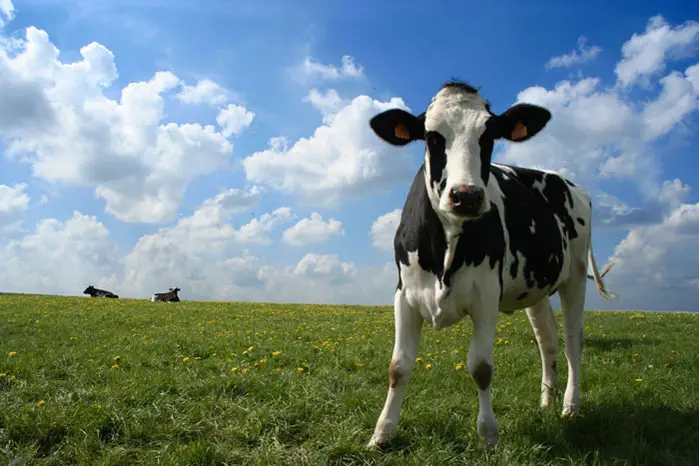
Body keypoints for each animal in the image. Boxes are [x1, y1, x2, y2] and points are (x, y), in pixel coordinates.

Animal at [370, 82, 616, 450]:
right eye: (430, 136)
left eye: (489, 135)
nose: (466, 196)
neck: (447, 244)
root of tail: (567, 182)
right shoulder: (405, 295)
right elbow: (398, 367)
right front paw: (382, 433)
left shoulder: (486, 296)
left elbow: (481, 367)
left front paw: (488, 434)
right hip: (536, 288)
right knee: (547, 339)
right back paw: (547, 399)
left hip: (575, 276)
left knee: (574, 340)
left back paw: (570, 405)